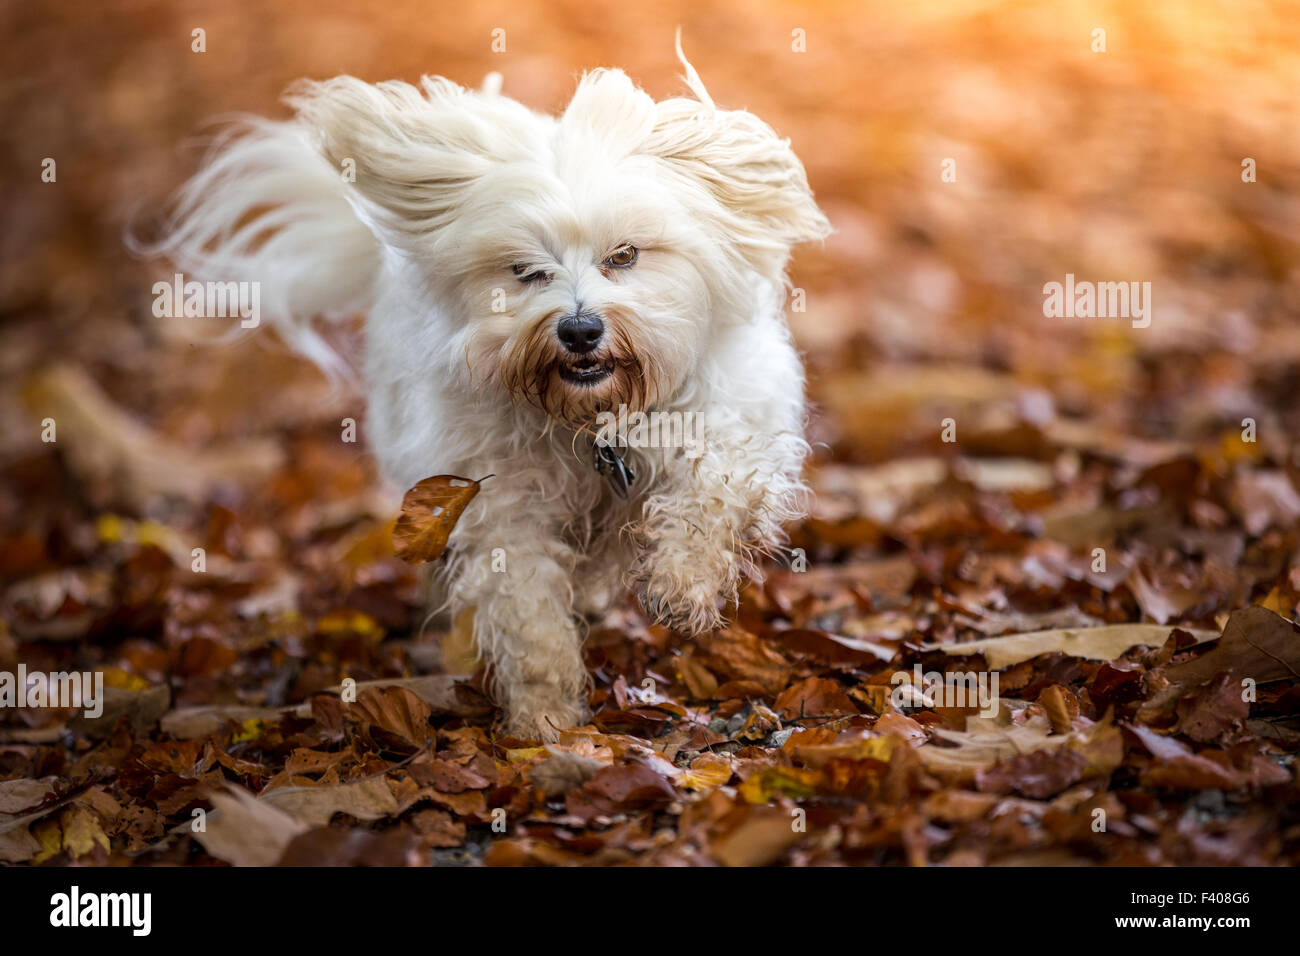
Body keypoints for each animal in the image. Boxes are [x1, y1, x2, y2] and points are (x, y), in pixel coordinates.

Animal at [149, 42, 821, 738]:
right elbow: (528, 615)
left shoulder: (732, 419)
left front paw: (682, 585)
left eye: (625, 255)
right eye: (525, 270)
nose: (580, 329)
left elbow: (713, 487)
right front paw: (544, 722)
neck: (592, 420)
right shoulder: (500, 505)